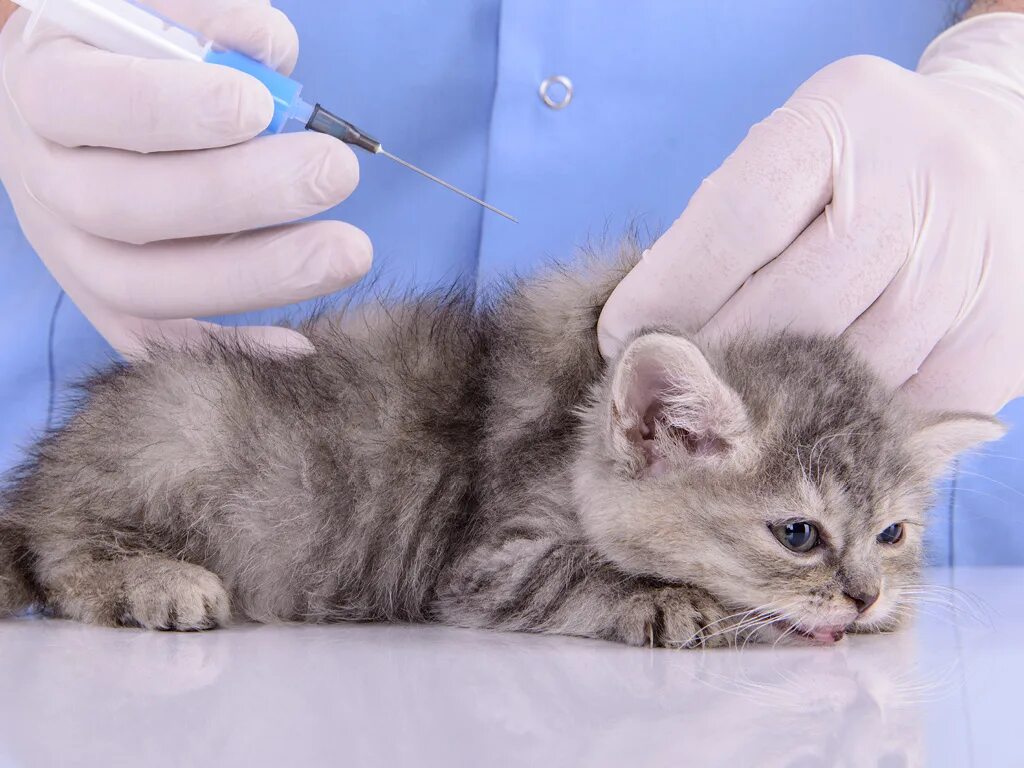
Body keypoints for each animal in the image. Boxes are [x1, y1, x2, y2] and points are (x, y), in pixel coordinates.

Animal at [0, 246, 999, 651]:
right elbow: (580, 575)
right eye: (797, 534)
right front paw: (672, 601)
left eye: (892, 535)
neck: (577, 422)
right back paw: (159, 582)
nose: (865, 598)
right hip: (187, 420)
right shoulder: (484, 560)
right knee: (63, 553)